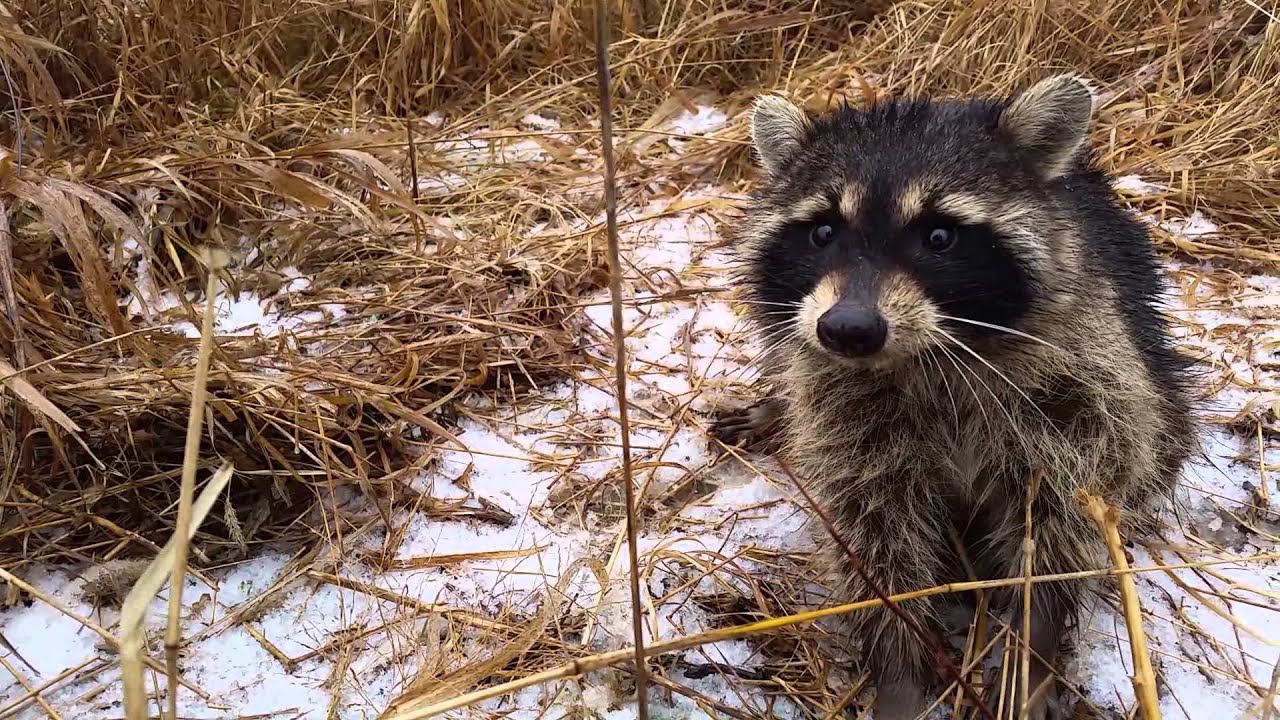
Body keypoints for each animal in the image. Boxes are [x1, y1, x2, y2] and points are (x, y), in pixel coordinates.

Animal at [711, 75, 1196, 719]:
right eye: (822, 232)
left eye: (939, 236)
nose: (848, 329)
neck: (927, 356)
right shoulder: (845, 410)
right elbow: (874, 531)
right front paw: (897, 664)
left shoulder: (1083, 383)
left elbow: (1061, 517)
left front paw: (1033, 645)